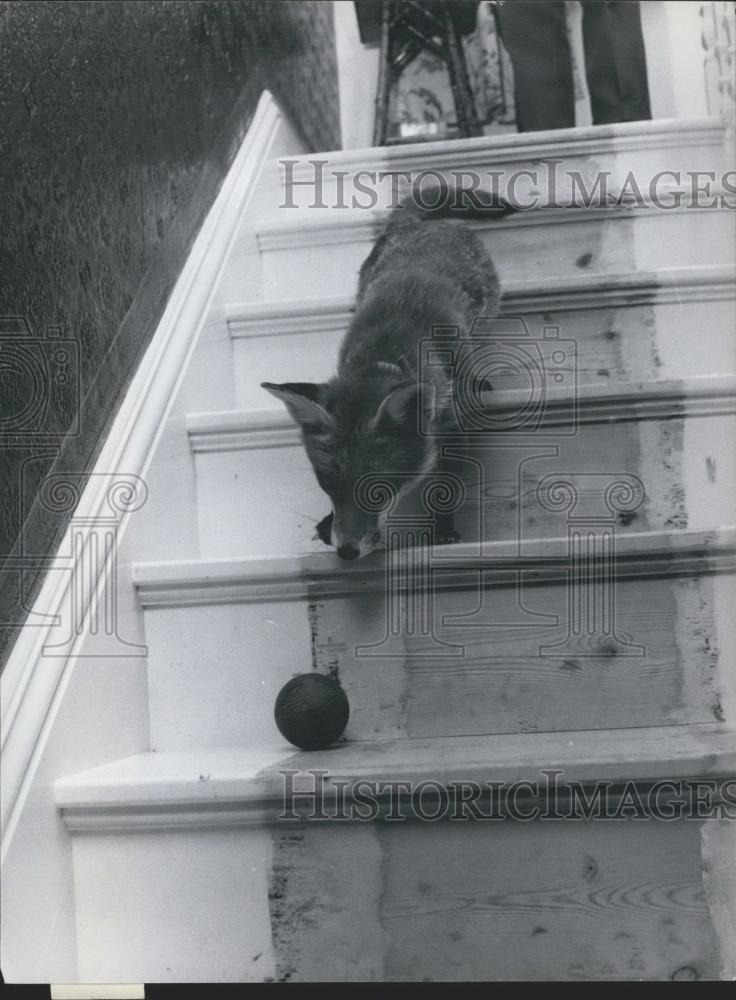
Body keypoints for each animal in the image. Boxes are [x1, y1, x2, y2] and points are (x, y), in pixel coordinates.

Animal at [264, 184, 512, 560]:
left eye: (377, 490)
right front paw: (327, 522)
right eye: (327, 482)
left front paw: (443, 530)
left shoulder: (453, 426)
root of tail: (415, 225)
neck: (386, 354)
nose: (346, 552)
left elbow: (446, 487)